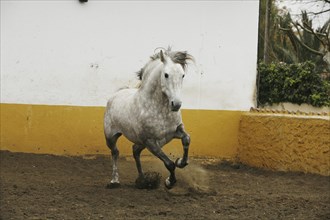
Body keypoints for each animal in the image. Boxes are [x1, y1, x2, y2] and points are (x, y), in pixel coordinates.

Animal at [104, 48, 193, 189]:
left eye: (183, 75)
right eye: (166, 75)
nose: (176, 104)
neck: (159, 110)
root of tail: (116, 94)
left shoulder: (175, 132)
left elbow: (187, 139)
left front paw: (180, 161)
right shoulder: (150, 141)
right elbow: (169, 164)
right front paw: (169, 182)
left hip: (141, 143)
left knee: (135, 151)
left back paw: (142, 180)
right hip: (110, 137)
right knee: (115, 153)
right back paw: (114, 181)